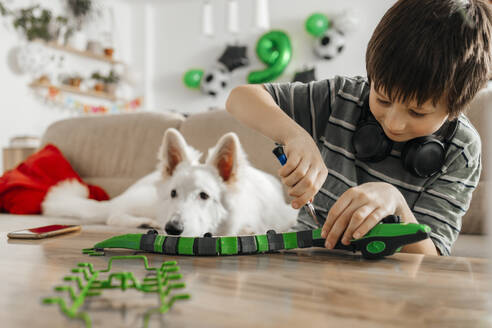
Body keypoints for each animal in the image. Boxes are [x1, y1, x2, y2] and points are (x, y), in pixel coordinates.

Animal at [41, 128, 296, 236]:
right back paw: (146, 223)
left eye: (204, 196)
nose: (172, 229)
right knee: (113, 215)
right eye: (174, 193)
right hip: (145, 201)